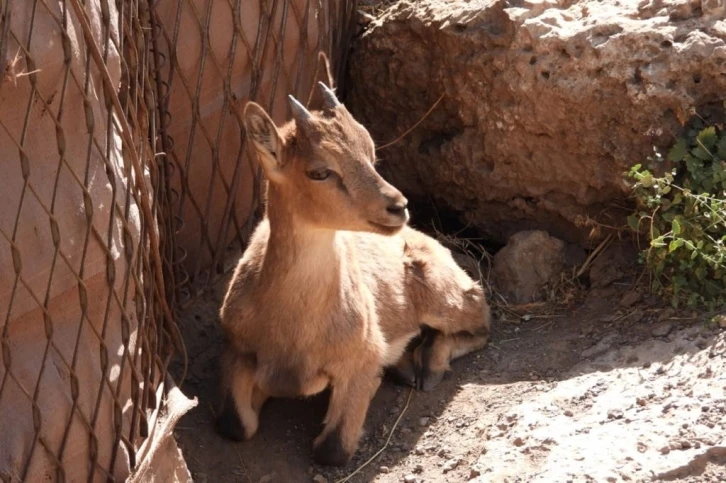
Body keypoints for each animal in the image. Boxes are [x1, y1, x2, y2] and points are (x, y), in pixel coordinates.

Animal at [215, 62, 490, 466]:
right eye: (319, 171)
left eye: (370, 151)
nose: (397, 206)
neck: (293, 329)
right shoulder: (237, 349)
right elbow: (236, 425)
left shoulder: (360, 360)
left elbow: (333, 450)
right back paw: (407, 365)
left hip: (444, 296)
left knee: (480, 323)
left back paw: (427, 368)